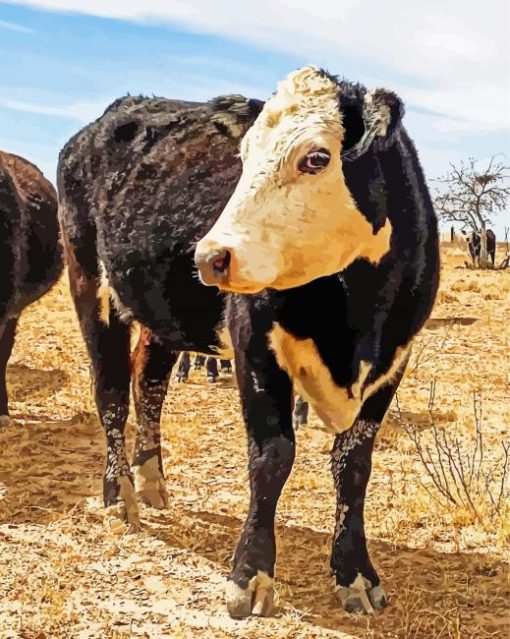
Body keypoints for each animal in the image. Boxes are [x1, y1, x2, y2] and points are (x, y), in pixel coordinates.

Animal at [56, 67, 438, 624]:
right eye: (244, 155)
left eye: (317, 157)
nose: (210, 257)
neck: (355, 317)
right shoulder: (256, 345)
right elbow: (271, 456)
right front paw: (250, 576)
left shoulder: (393, 360)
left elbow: (354, 466)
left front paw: (356, 574)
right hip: (90, 282)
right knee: (110, 391)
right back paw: (118, 493)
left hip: (162, 315)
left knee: (148, 385)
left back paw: (151, 482)